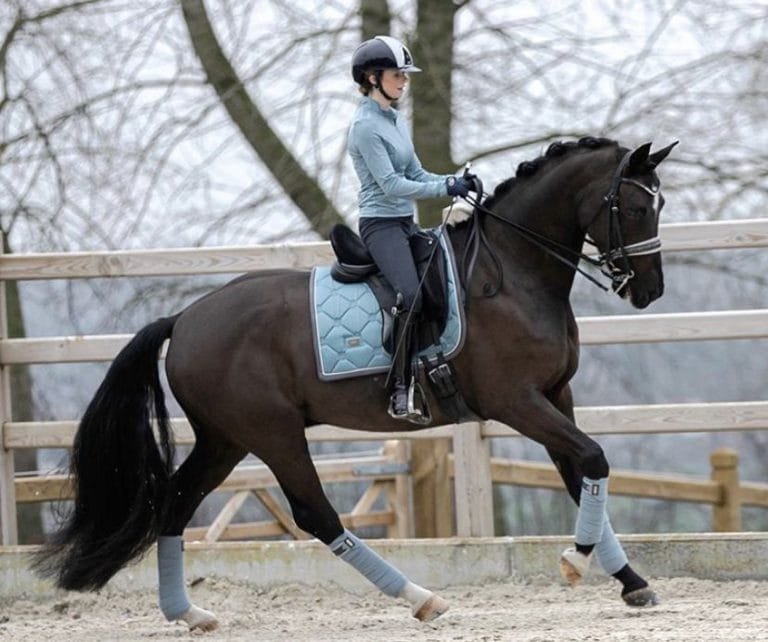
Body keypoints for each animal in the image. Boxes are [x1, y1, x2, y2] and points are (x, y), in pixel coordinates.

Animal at [33, 136, 677, 632]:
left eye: (660, 203)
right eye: (634, 207)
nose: (650, 290)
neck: (513, 273)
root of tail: (186, 319)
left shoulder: (555, 395)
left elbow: (581, 471)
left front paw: (631, 581)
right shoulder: (515, 401)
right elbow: (592, 459)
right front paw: (576, 561)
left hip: (225, 439)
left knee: (174, 500)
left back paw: (186, 613)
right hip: (272, 434)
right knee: (316, 515)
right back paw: (421, 599)